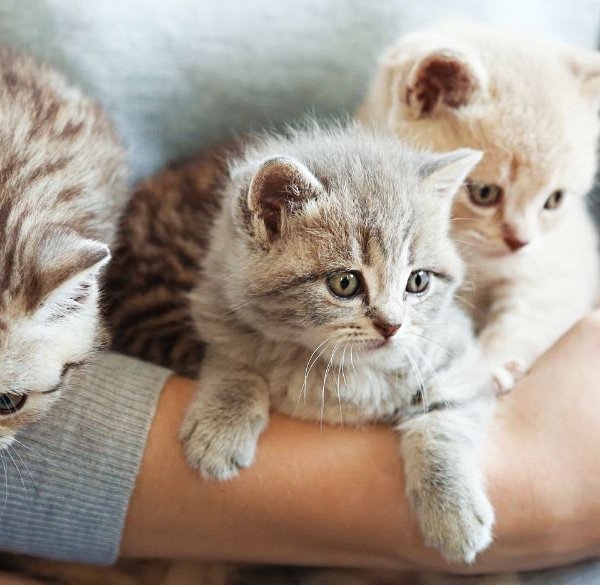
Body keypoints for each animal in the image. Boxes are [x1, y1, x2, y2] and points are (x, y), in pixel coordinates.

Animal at [183, 122, 496, 560]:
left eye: (418, 281)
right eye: (344, 283)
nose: (392, 326)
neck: (347, 371)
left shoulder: (458, 353)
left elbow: (443, 419)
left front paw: (455, 514)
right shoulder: (220, 312)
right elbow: (236, 363)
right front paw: (219, 427)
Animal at [356, 21, 600, 392]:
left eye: (554, 199)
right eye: (484, 193)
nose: (519, 241)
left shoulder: (555, 266)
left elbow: (529, 314)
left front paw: (488, 364)